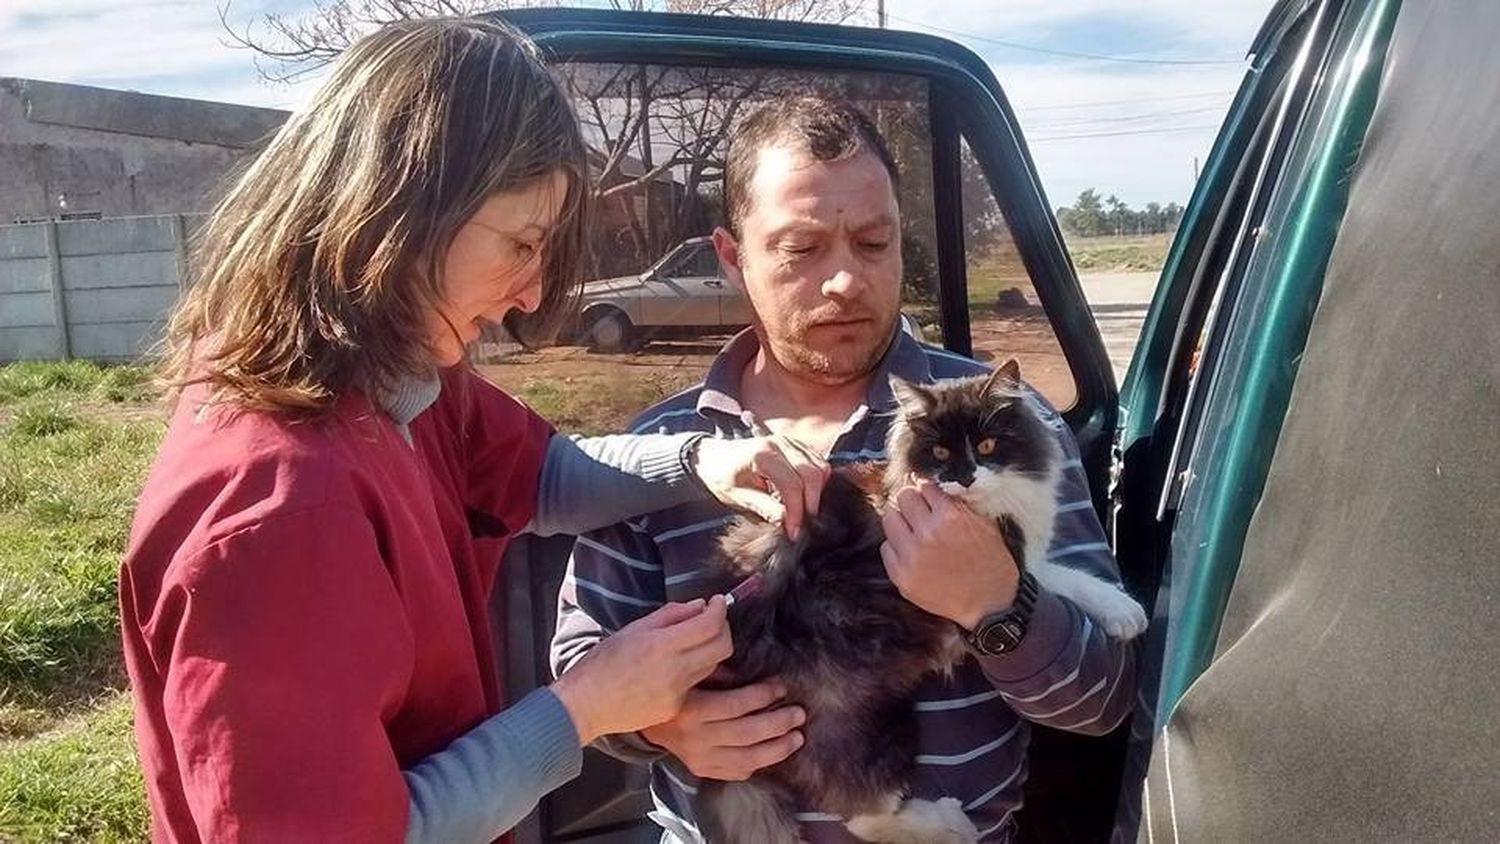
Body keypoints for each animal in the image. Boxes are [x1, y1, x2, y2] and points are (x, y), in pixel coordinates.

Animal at [693, 359, 1146, 839]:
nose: (965, 476)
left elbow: (1065, 577)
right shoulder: (1017, 558)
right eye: (940, 454)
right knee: (863, 813)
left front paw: (1121, 609)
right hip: (853, 715)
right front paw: (1125, 609)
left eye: (987, 444)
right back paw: (952, 824)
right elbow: (1063, 577)